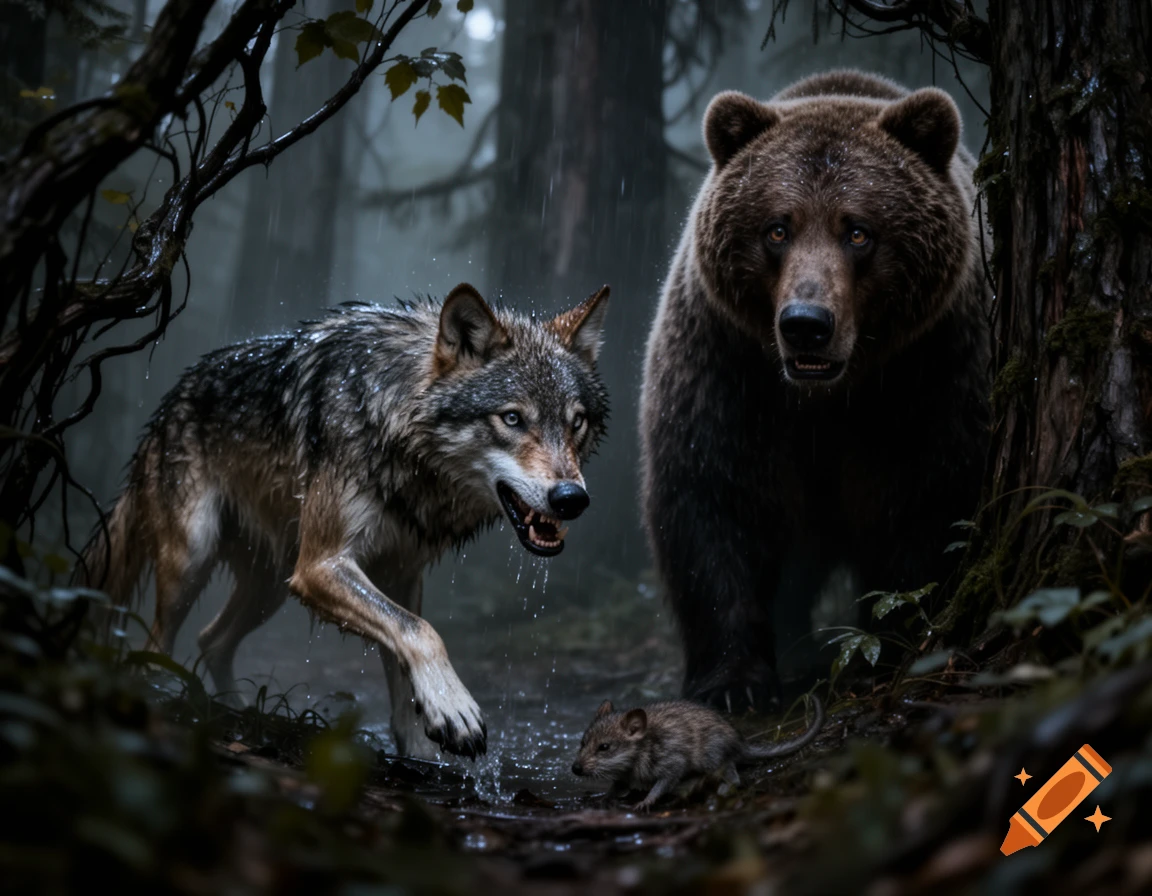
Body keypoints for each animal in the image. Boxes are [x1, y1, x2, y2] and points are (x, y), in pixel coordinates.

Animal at [80, 283, 610, 759]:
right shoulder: (321, 566)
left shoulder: (399, 572)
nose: (572, 499)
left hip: (272, 585)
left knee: (211, 641)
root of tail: (168, 404)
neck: (399, 430)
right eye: (513, 419)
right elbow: (421, 632)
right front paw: (454, 710)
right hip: (196, 558)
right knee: (156, 644)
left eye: (576, 422)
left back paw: (236, 715)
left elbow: (403, 659)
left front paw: (420, 750)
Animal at [640, 70, 990, 712]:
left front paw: (893, 646)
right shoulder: (729, 372)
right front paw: (733, 681)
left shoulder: (932, 374)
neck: (827, 398)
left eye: (858, 231)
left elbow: (928, 503)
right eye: (777, 228)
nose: (806, 323)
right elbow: (713, 503)